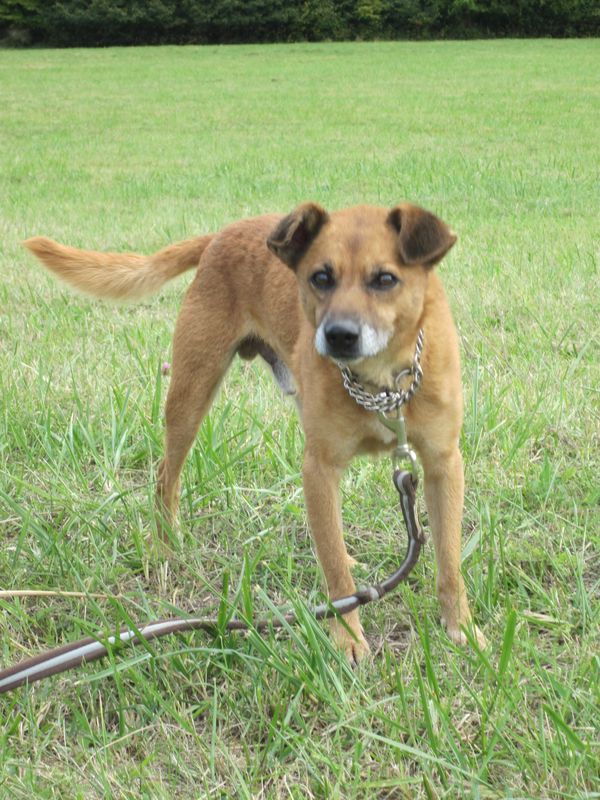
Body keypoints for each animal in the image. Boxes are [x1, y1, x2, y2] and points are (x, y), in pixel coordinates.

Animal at [23, 203, 486, 660]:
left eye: (385, 279)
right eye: (321, 277)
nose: (338, 336)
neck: (381, 384)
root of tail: (220, 235)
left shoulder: (443, 465)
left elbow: (448, 561)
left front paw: (460, 627)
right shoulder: (319, 468)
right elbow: (339, 581)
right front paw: (347, 638)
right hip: (190, 395)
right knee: (165, 475)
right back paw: (166, 548)